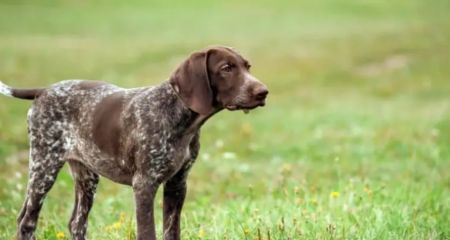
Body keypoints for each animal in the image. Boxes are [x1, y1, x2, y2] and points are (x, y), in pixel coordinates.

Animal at [0, 47, 268, 240]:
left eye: (247, 67)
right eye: (226, 68)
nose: (263, 92)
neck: (179, 117)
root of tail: (44, 90)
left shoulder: (177, 184)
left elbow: (172, 230)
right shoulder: (144, 185)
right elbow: (147, 232)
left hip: (87, 176)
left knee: (77, 223)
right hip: (44, 166)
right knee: (27, 221)